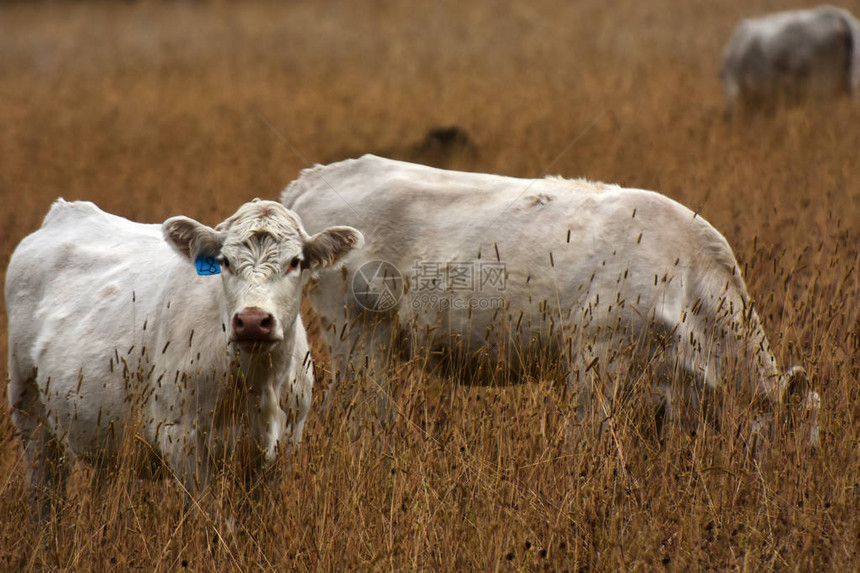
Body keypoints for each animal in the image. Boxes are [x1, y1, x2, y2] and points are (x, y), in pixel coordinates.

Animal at [6, 198, 362, 512]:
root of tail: (64, 212)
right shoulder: (181, 439)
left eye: (295, 262)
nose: (252, 321)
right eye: (224, 261)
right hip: (30, 410)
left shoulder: (284, 445)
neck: (257, 383)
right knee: (44, 493)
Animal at [280, 155, 820, 442]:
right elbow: (592, 433)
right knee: (362, 412)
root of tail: (315, 176)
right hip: (357, 332)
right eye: (787, 439)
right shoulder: (593, 351)